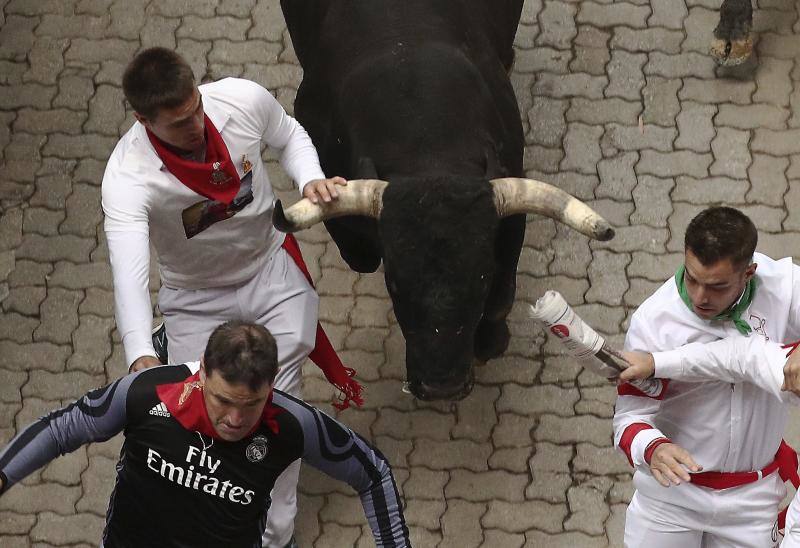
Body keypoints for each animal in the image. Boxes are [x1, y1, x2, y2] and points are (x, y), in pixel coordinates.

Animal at [276, 2, 612, 400]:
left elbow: (502, 297)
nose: (442, 386)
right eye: (395, 284)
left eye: (481, 279)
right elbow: (359, 254)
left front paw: (490, 342)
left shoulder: (510, 215)